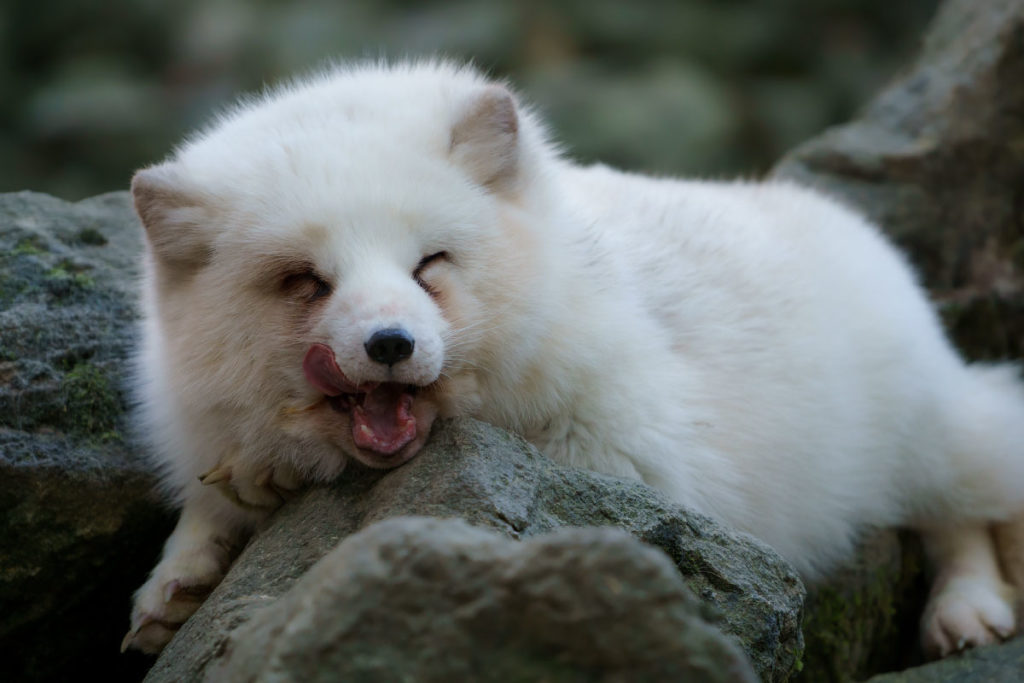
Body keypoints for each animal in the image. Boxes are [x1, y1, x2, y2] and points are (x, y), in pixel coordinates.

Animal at [123, 61, 1024, 660]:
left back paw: (967, 610)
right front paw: (181, 574)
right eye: (306, 281)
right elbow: (206, 503)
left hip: (927, 436)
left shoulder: (636, 462)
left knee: (959, 510)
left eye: (429, 262)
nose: (390, 344)